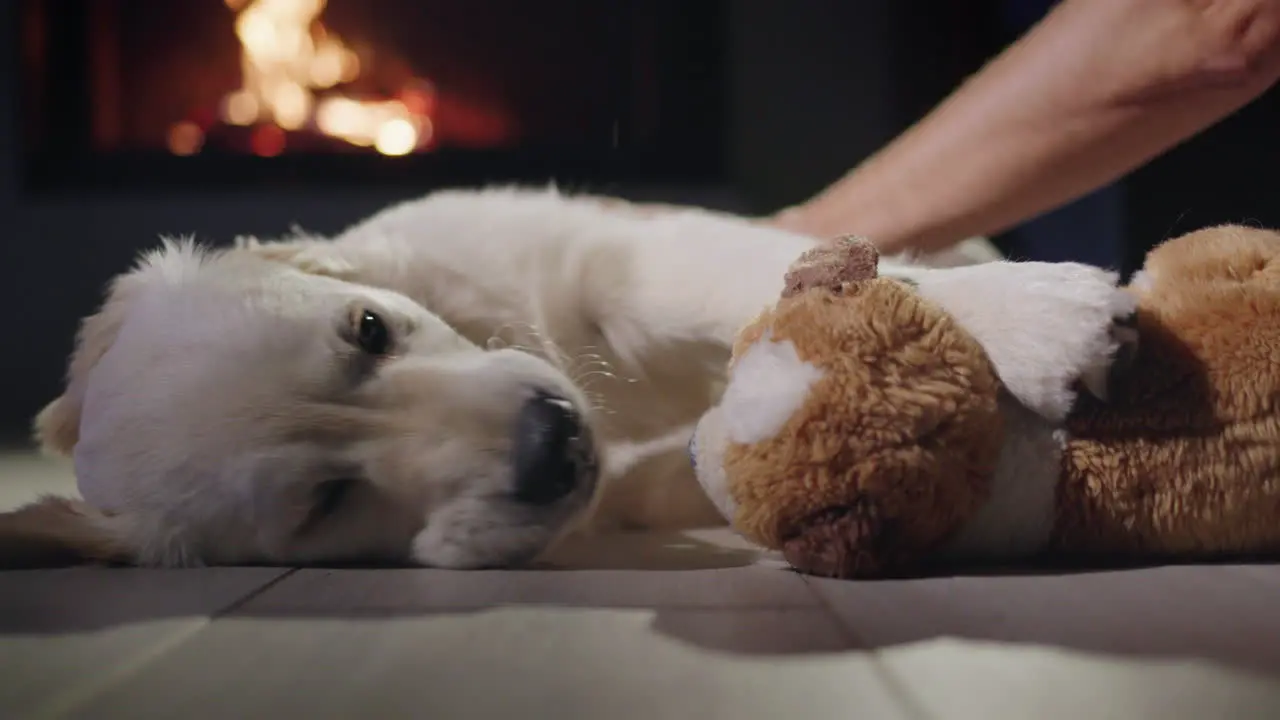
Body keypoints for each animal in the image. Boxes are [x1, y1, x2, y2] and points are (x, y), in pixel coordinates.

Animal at [0, 184, 1136, 566]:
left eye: (368, 328)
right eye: (324, 503)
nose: (552, 445)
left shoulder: (614, 254)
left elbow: (747, 279)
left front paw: (1026, 318)